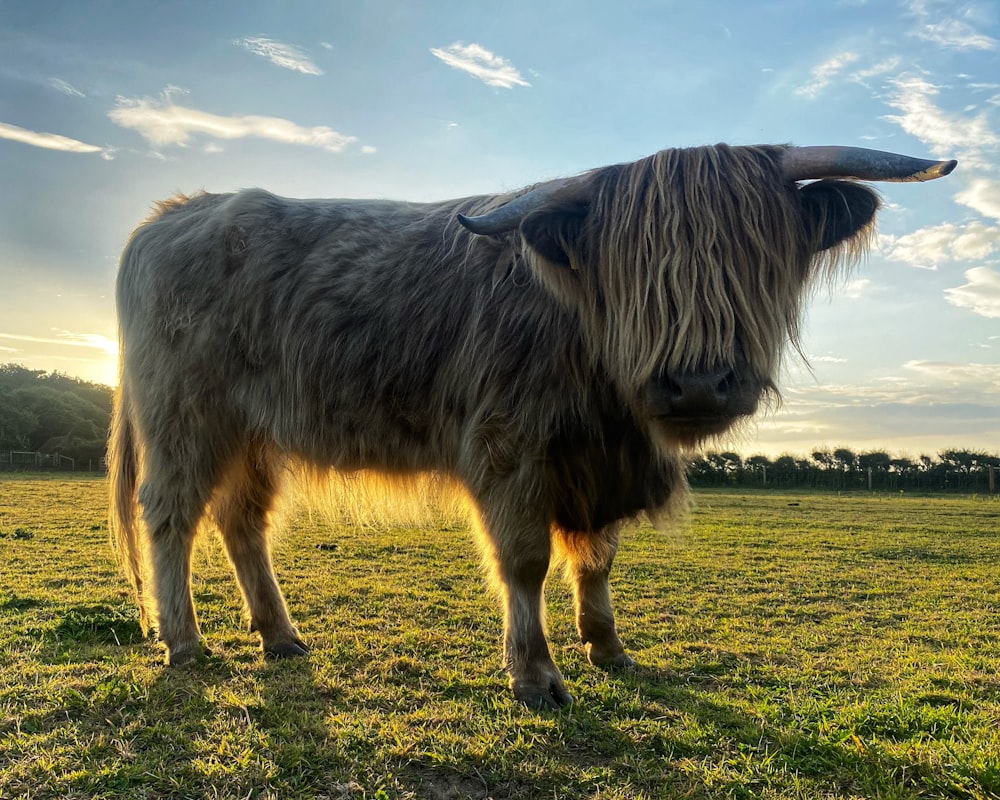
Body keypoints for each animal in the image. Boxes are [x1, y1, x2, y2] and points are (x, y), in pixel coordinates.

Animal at [107, 142, 952, 708]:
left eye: (755, 255)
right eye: (631, 267)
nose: (697, 381)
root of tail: (175, 213)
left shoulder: (600, 464)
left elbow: (599, 560)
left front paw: (609, 649)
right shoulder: (510, 448)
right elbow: (526, 561)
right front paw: (537, 674)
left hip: (251, 433)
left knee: (241, 521)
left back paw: (280, 635)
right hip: (185, 416)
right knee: (171, 516)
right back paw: (185, 642)